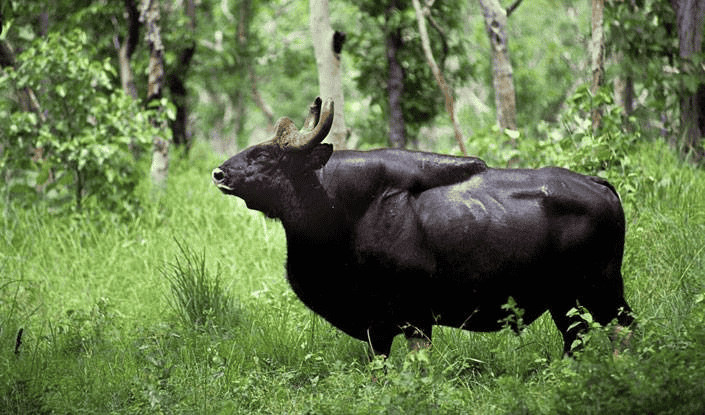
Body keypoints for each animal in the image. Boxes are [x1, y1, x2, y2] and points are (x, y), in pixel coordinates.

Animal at [212, 97, 634, 357]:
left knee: (625, 331)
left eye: (264, 155)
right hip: (567, 302)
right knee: (577, 342)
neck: (347, 211)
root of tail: (599, 184)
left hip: (602, 292)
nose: (218, 173)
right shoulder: (378, 328)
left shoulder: (414, 320)